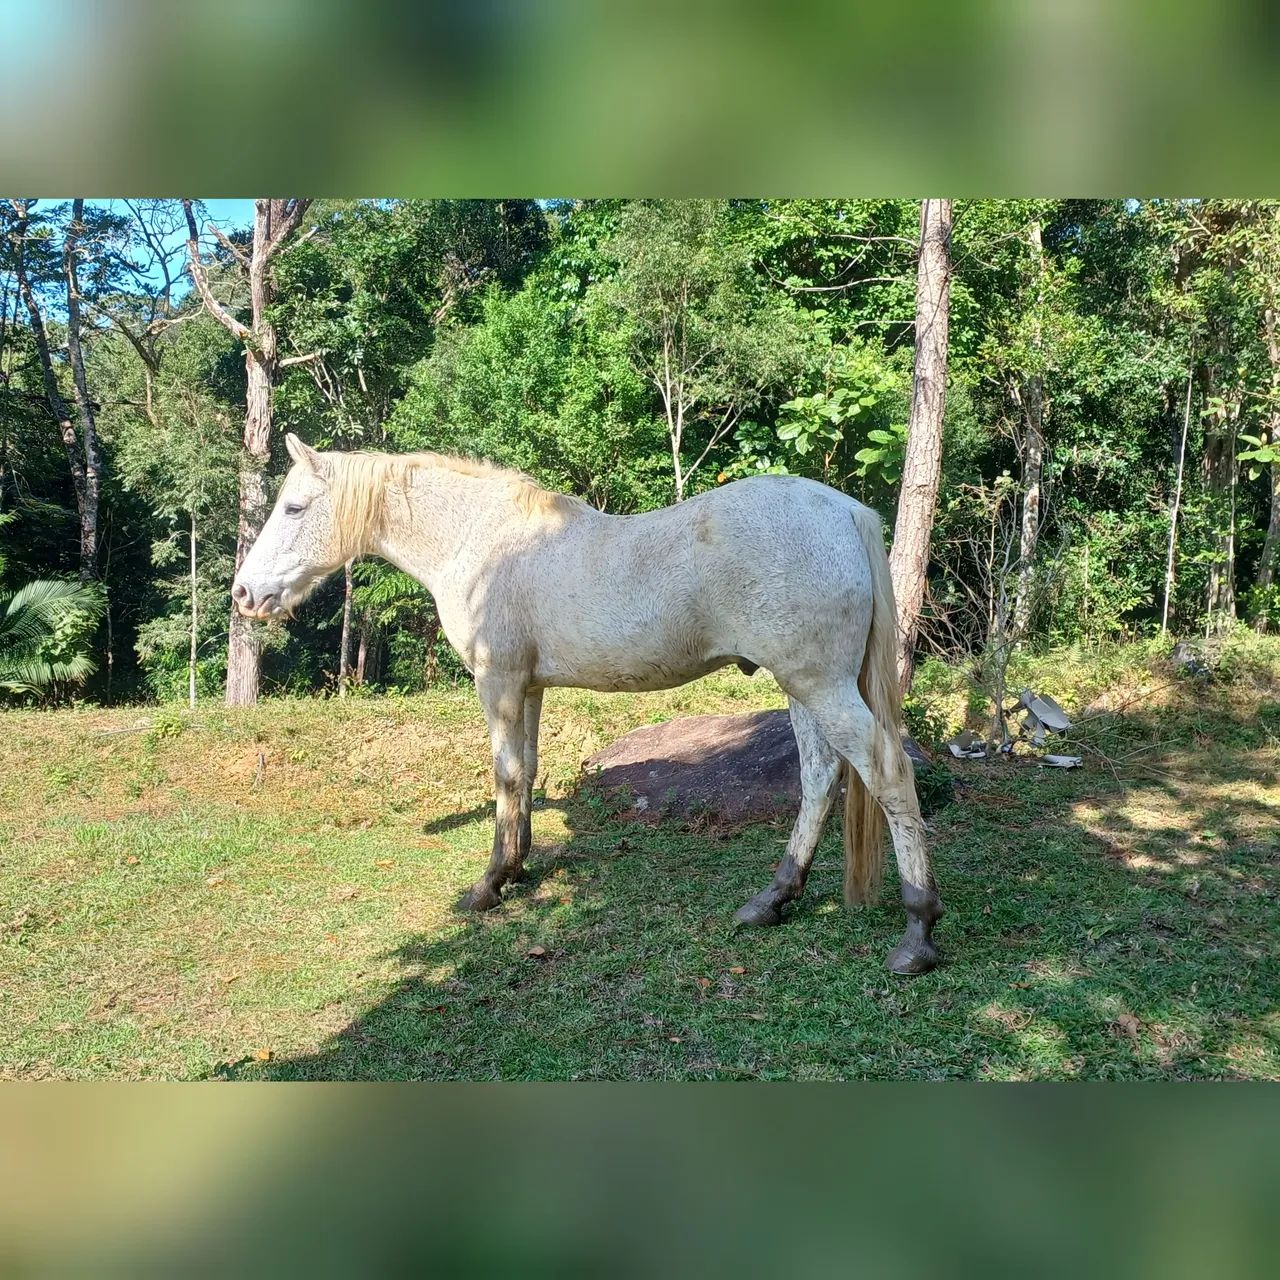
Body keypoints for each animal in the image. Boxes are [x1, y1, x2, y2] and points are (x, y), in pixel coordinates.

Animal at [232, 434, 944, 974]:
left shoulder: (497, 681)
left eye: (294, 507)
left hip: (819, 685)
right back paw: (771, 899)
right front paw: (517, 867)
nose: (243, 594)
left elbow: (505, 774)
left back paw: (917, 931)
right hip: (803, 686)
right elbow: (526, 771)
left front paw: (489, 885)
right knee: (820, 778)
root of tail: (844, 512)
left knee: (887, 773)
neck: (482, 543)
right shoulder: (529, 688)